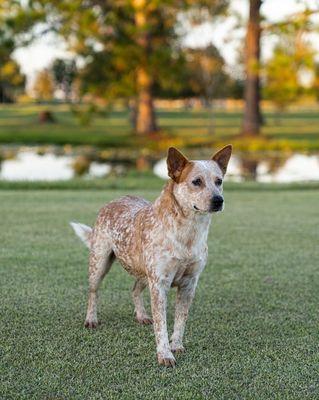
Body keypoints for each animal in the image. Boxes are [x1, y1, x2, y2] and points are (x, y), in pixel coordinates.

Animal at [71, 145, 232, 368]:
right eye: (196, 181)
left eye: (219, 181)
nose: (218, 200)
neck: (188, 233)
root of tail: (115, 200)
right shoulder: (160, 283)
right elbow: (161, 324)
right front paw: (165, 354)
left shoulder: (189, 283)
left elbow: (181, 319)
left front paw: (177, 345)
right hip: (100, 263)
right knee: (93, 292)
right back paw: (91, 319)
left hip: (144, 272)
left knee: (134, 289)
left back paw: (141, 315)